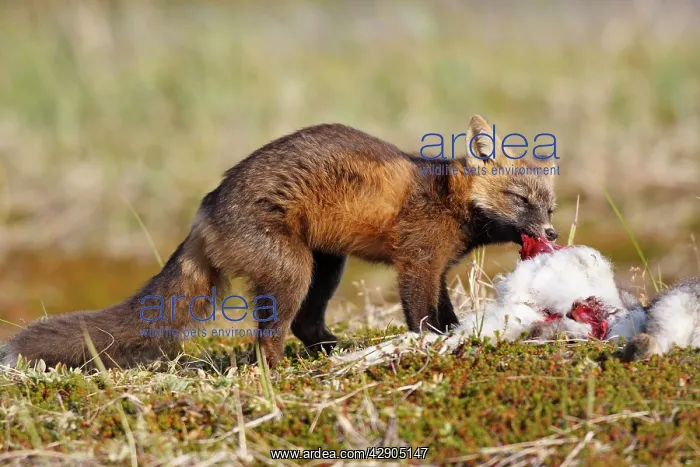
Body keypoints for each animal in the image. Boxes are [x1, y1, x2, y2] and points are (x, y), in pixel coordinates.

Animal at [1, 115, 558, 370]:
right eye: (519, 199)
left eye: (549, 206)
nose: (551, 234)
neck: (444, 198)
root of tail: (207, 205)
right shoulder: (417, 263)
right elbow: (422, 318)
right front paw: (434, 345)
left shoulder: (438, 268)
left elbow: (446, 314)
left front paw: (458, 335)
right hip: (294, 271)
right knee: (269, 337)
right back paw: (277, 375)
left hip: (325, 265)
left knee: (306, 325)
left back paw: (334, 352)